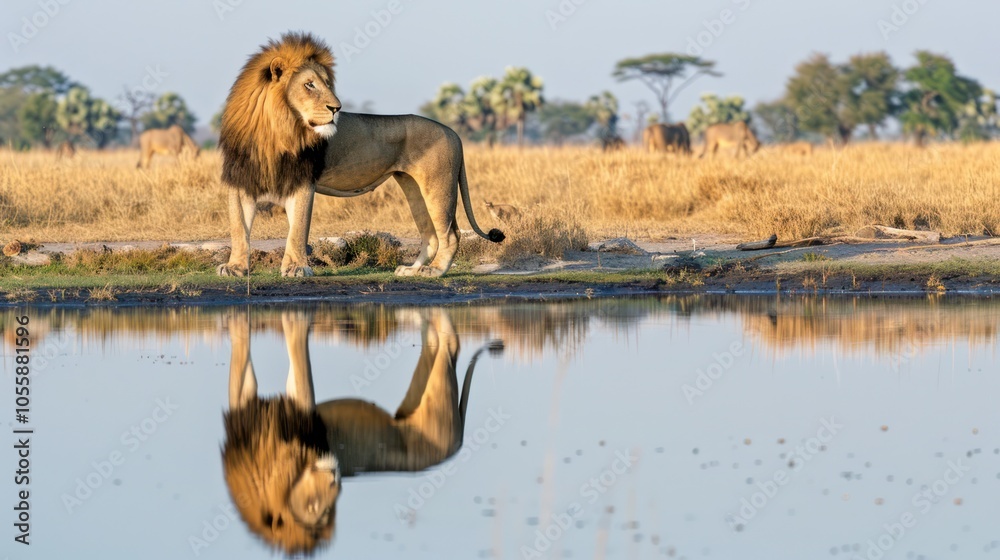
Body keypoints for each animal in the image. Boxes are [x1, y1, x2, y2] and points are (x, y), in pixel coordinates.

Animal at [216, 32, 504, 279]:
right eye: (309, 85)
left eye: (327, 84)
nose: (336, 108)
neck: (272, 127)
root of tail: (453, 132)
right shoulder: (241, 178)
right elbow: (238, 227)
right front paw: (235, 268)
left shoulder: (302, 180)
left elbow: (297, 228)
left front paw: (296, 268)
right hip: (413, 187)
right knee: (431, 236)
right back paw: (411, 270)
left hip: (439, 186)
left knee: (450, 234)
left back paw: (434, 271)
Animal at [222, 308, 499, 554]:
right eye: (313, 508)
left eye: (327, 510)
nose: (335, 478)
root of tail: (458, 444)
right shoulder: (244, 409)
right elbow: (239, 366)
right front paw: (238, 320)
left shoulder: (302, 410)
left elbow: (297, 355)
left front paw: (295, 320)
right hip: (416, 396)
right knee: (434, 342)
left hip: (437, 399)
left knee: (451, 344)